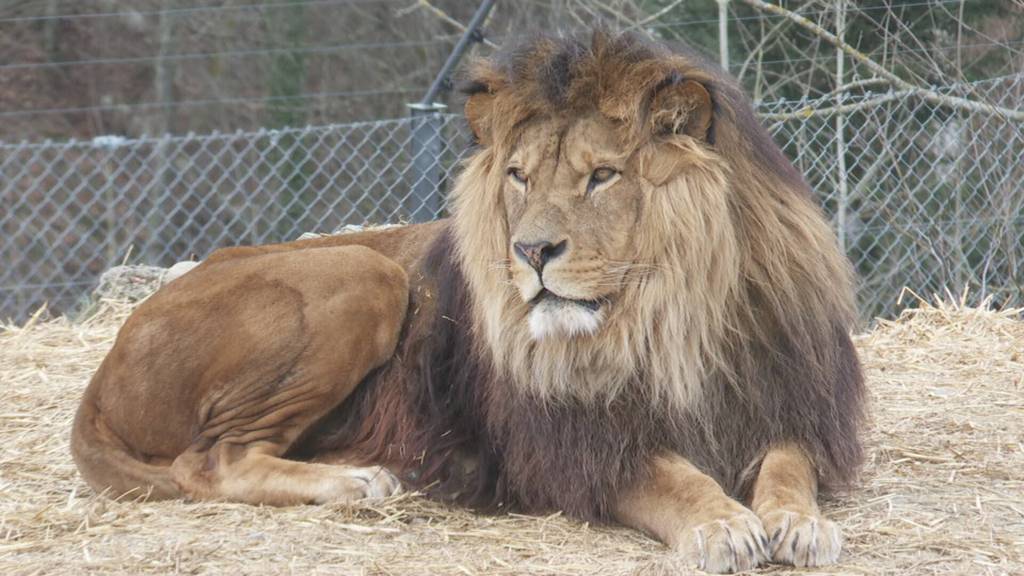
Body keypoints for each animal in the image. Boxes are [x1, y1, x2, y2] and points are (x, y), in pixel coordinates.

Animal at [68, 30, 860, 569]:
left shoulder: (789, 397)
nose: (531, 252)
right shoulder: (569, 447)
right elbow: (670, 478)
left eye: (602, 176)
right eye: (518, 176)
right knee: (209, 461)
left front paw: (798, 522)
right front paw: (720, 522)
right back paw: (357, 480)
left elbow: (790, 465)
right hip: (362, 271)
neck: (668, 319)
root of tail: (101, 376)